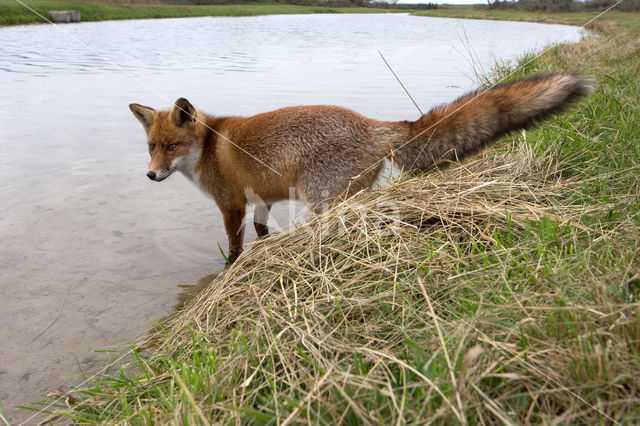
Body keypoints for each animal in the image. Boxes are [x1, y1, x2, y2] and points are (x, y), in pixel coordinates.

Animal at [129, 73, 592, 262]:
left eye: (171, 147)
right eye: (151, 148)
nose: (151, 175)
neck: (208, 146)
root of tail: (376, 124)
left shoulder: (231, 206)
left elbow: (236, 245)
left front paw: (231, 269)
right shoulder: (261, 201)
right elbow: (261, 232)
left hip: (321, 198)